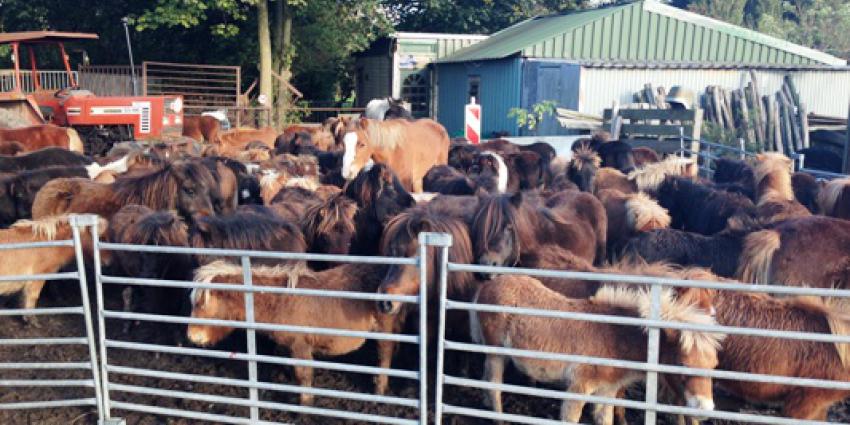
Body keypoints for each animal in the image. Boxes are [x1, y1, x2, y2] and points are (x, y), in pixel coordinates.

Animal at [187, 260, 403, 406]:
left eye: (202, 304)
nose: (192, 335)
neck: (279, 302)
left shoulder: (300, 346)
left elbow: (303, 375)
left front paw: (305, 405)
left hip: (385, 328)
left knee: (385, 355)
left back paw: (379, 390)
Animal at [472, 278, 722, 423]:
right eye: (682, 364)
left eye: (714, 366)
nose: (705, 408)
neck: (615, 337)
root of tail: (488, 284)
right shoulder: (578, 388)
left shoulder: (607, 391)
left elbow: (604, 419)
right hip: (496, 352)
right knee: (494, 384)